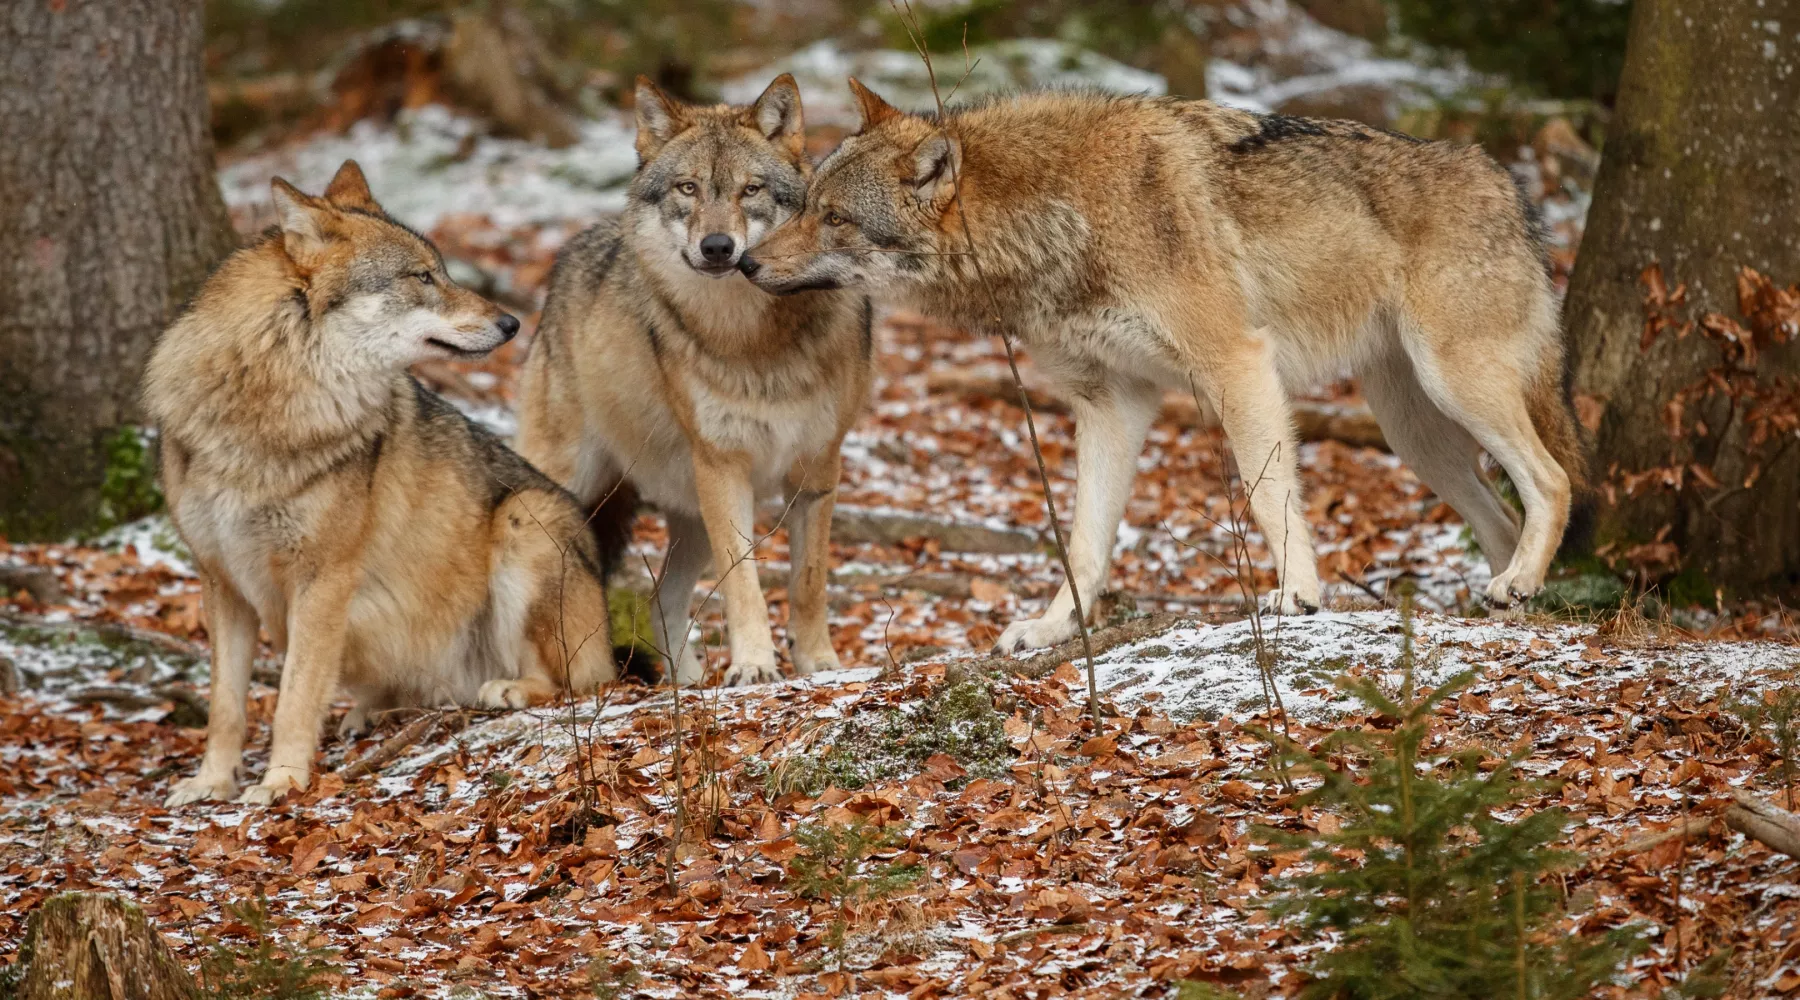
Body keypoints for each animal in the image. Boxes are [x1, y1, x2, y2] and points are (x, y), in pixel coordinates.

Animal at [144, 161, 619, 805]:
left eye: (442, 270)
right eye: (422, 276)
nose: (512, 322)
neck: (269, 407)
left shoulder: (323, 580)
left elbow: (294, 698)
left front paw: (280, 782)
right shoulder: (221, 582)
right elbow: (226, 707)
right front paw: (210, 783)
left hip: (526, 518)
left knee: (576, 682)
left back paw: (509, 689)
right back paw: (368, 713)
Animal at [514, 75, 871, 687]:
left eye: (751, 190)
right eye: (688, 188)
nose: (718, 247)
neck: (752, 341)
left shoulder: (818, 469)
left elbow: (808, 584)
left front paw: (819, 664)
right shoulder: (724, 467)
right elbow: (744, 583)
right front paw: (754, 665)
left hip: (689, 516)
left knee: (661, 599)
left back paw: (685, 682)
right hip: (566, 492)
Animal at [745, 81, 1591, 651]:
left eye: (834, 217)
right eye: (803, 202)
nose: (746, 262)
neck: (1061, 216)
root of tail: (1512, 188)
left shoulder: (1236, 365)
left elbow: (1269, 497)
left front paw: (1299, 594)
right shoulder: (1111, 403)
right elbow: (1085, 544)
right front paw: (1053, 630)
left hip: (1455, 387)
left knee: (1553, 481)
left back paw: (1518, 583)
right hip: (1414, 432)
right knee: (1500, 513)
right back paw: (1503, 601)